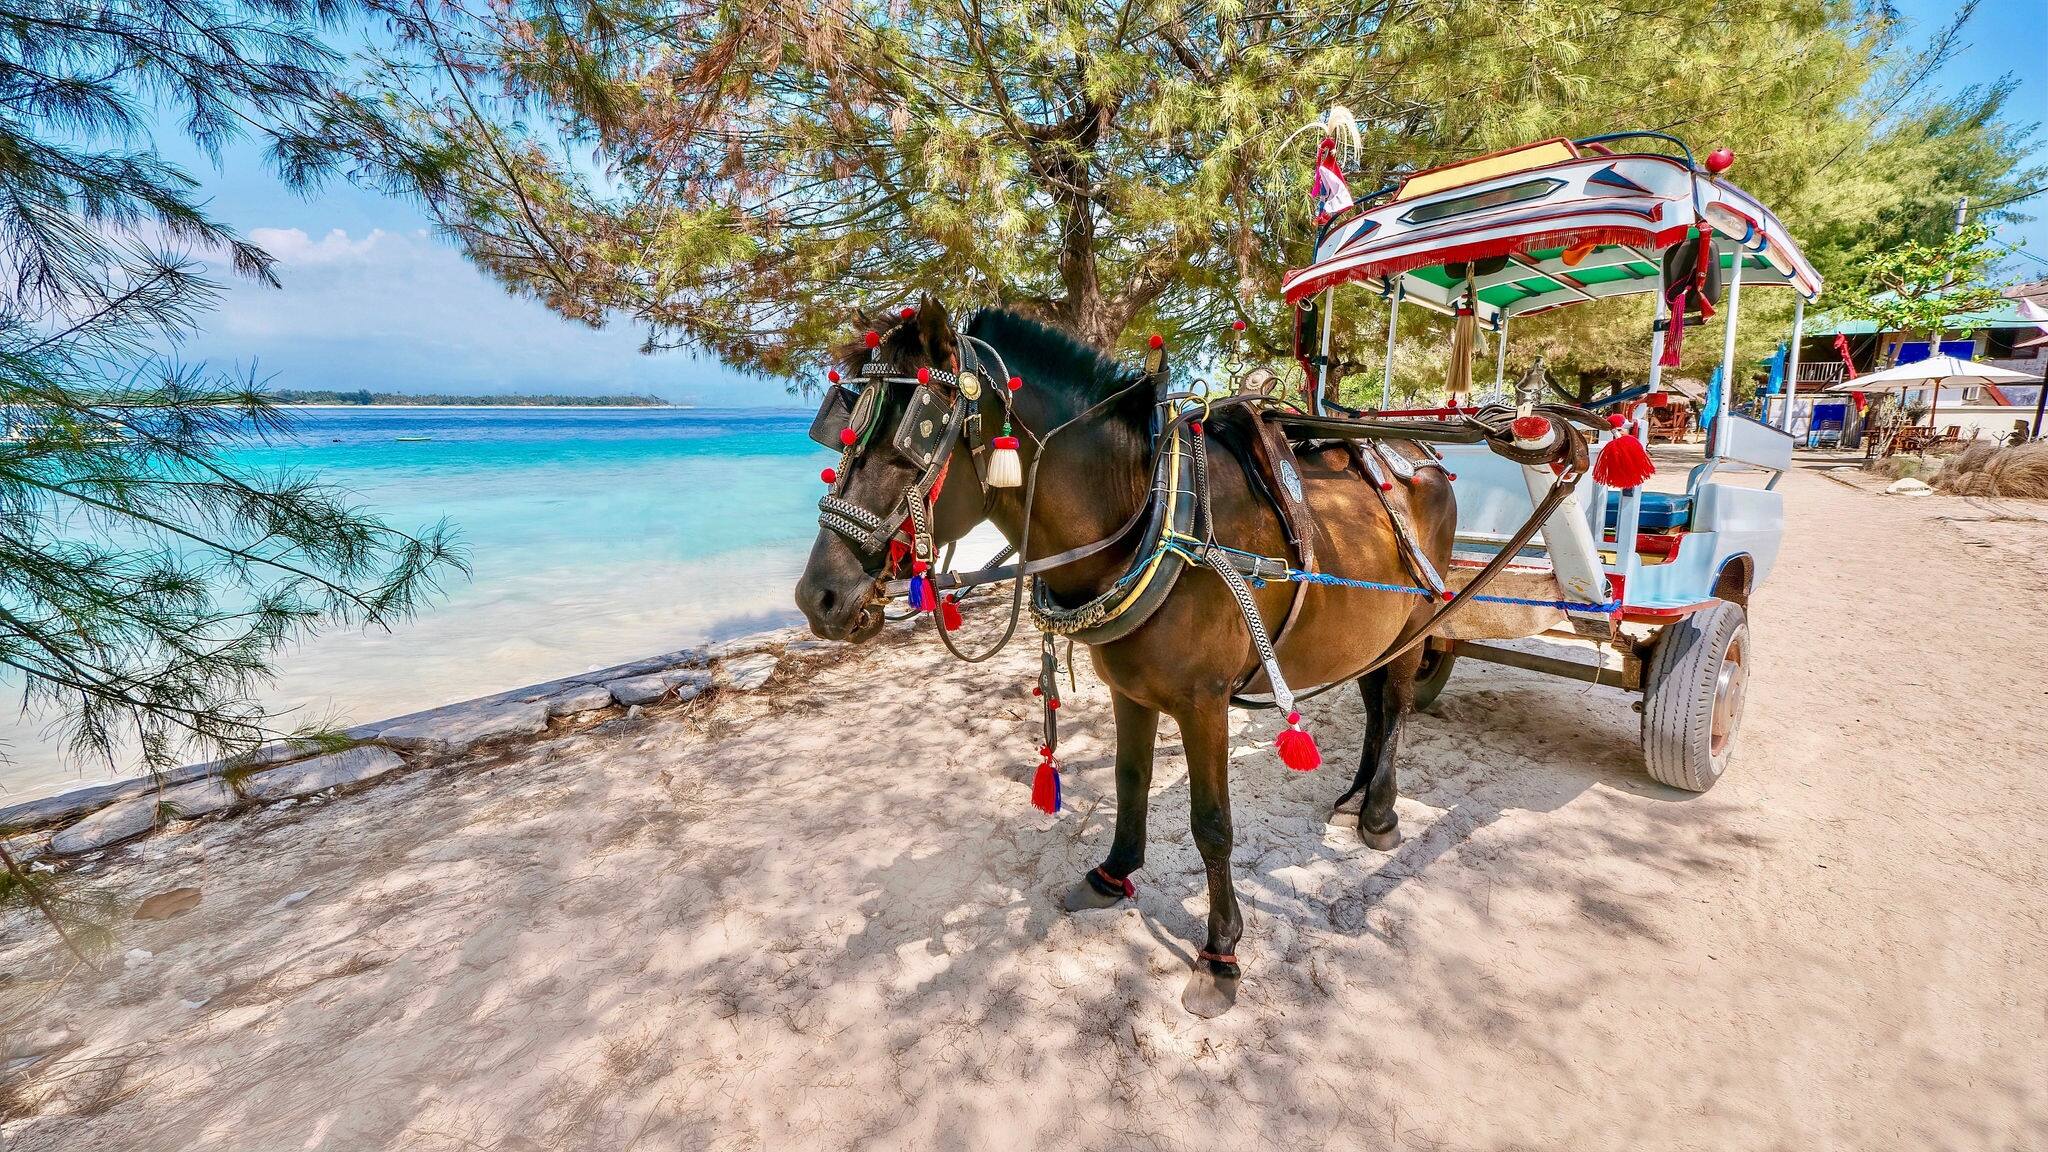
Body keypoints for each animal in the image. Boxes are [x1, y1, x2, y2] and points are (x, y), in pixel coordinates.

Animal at [795, 299, 1456, 1016]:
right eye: (843, 432)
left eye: (913, 439)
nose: (817, 596)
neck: (1152, 514)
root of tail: (1422, 452)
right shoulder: (1129, 690)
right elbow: (1128, 779)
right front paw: (1113, 874)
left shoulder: (1204, 703)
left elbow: (1211, 823)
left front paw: (1220, 952)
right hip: (1373, 633)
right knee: (1372, 702)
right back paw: (1356, 794)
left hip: (1419, 619)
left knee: (1394, 706)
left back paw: (1379, 814)